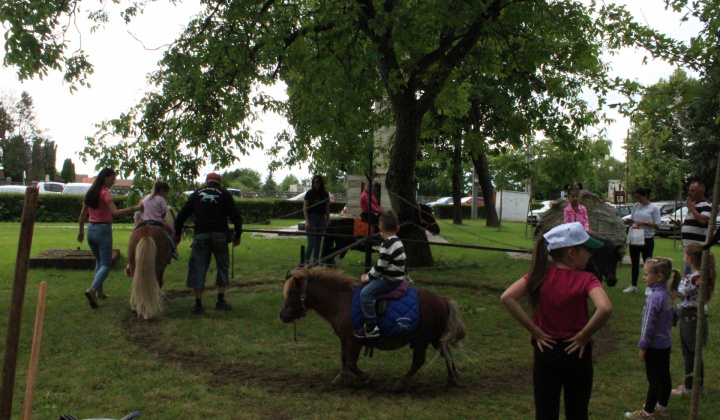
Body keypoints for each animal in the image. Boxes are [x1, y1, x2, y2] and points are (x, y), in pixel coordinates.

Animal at [276, 268, 466, 392]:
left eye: (291, 293)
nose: (282, 315)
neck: (340, 302)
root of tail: (442, 300)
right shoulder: (344, 339)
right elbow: (344, 358)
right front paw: (342, 377)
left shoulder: (355, 341)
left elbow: (351, 363)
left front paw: (366, 377)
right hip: (435, 338)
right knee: (446, 354)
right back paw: (451, 379)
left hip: (422, 339)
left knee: (418, 361)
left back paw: (401, 383)